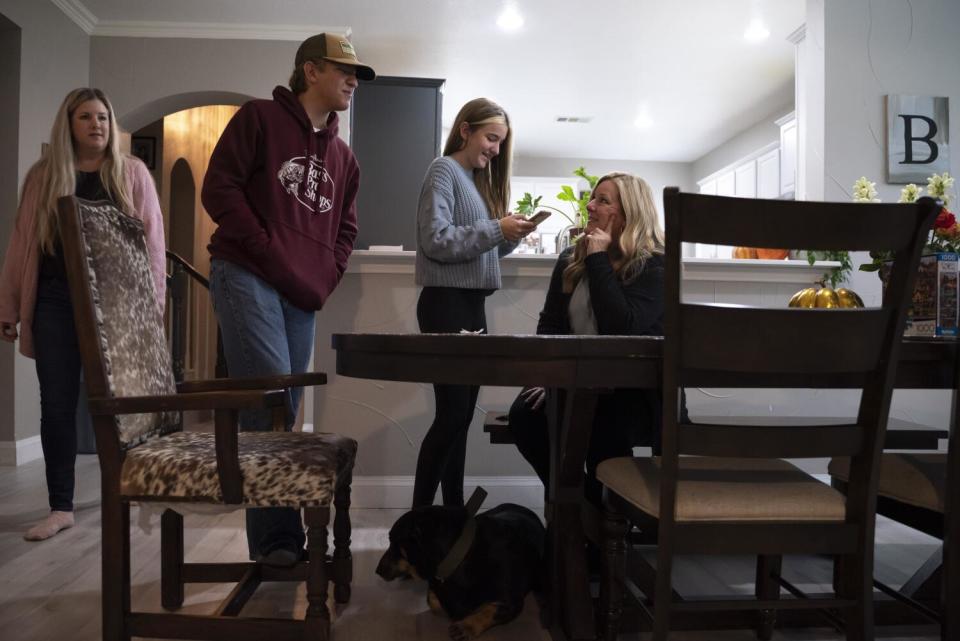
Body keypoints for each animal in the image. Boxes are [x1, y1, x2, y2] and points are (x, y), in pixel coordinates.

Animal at [376, 500, 544, 640]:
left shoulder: (513, 602)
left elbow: (490, 610)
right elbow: (434, 600)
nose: (377, 571)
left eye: (393, 542)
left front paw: (466, 626)